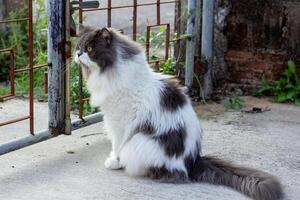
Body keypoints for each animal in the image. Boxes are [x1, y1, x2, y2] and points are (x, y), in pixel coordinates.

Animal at [74, 26, 284, 200]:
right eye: (78, 46)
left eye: (90, 49)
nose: (77, 53)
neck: (113, 70)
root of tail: (192, 161)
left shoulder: (119, 123)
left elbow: (117, 145)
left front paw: (114, 162)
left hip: (139, 141)